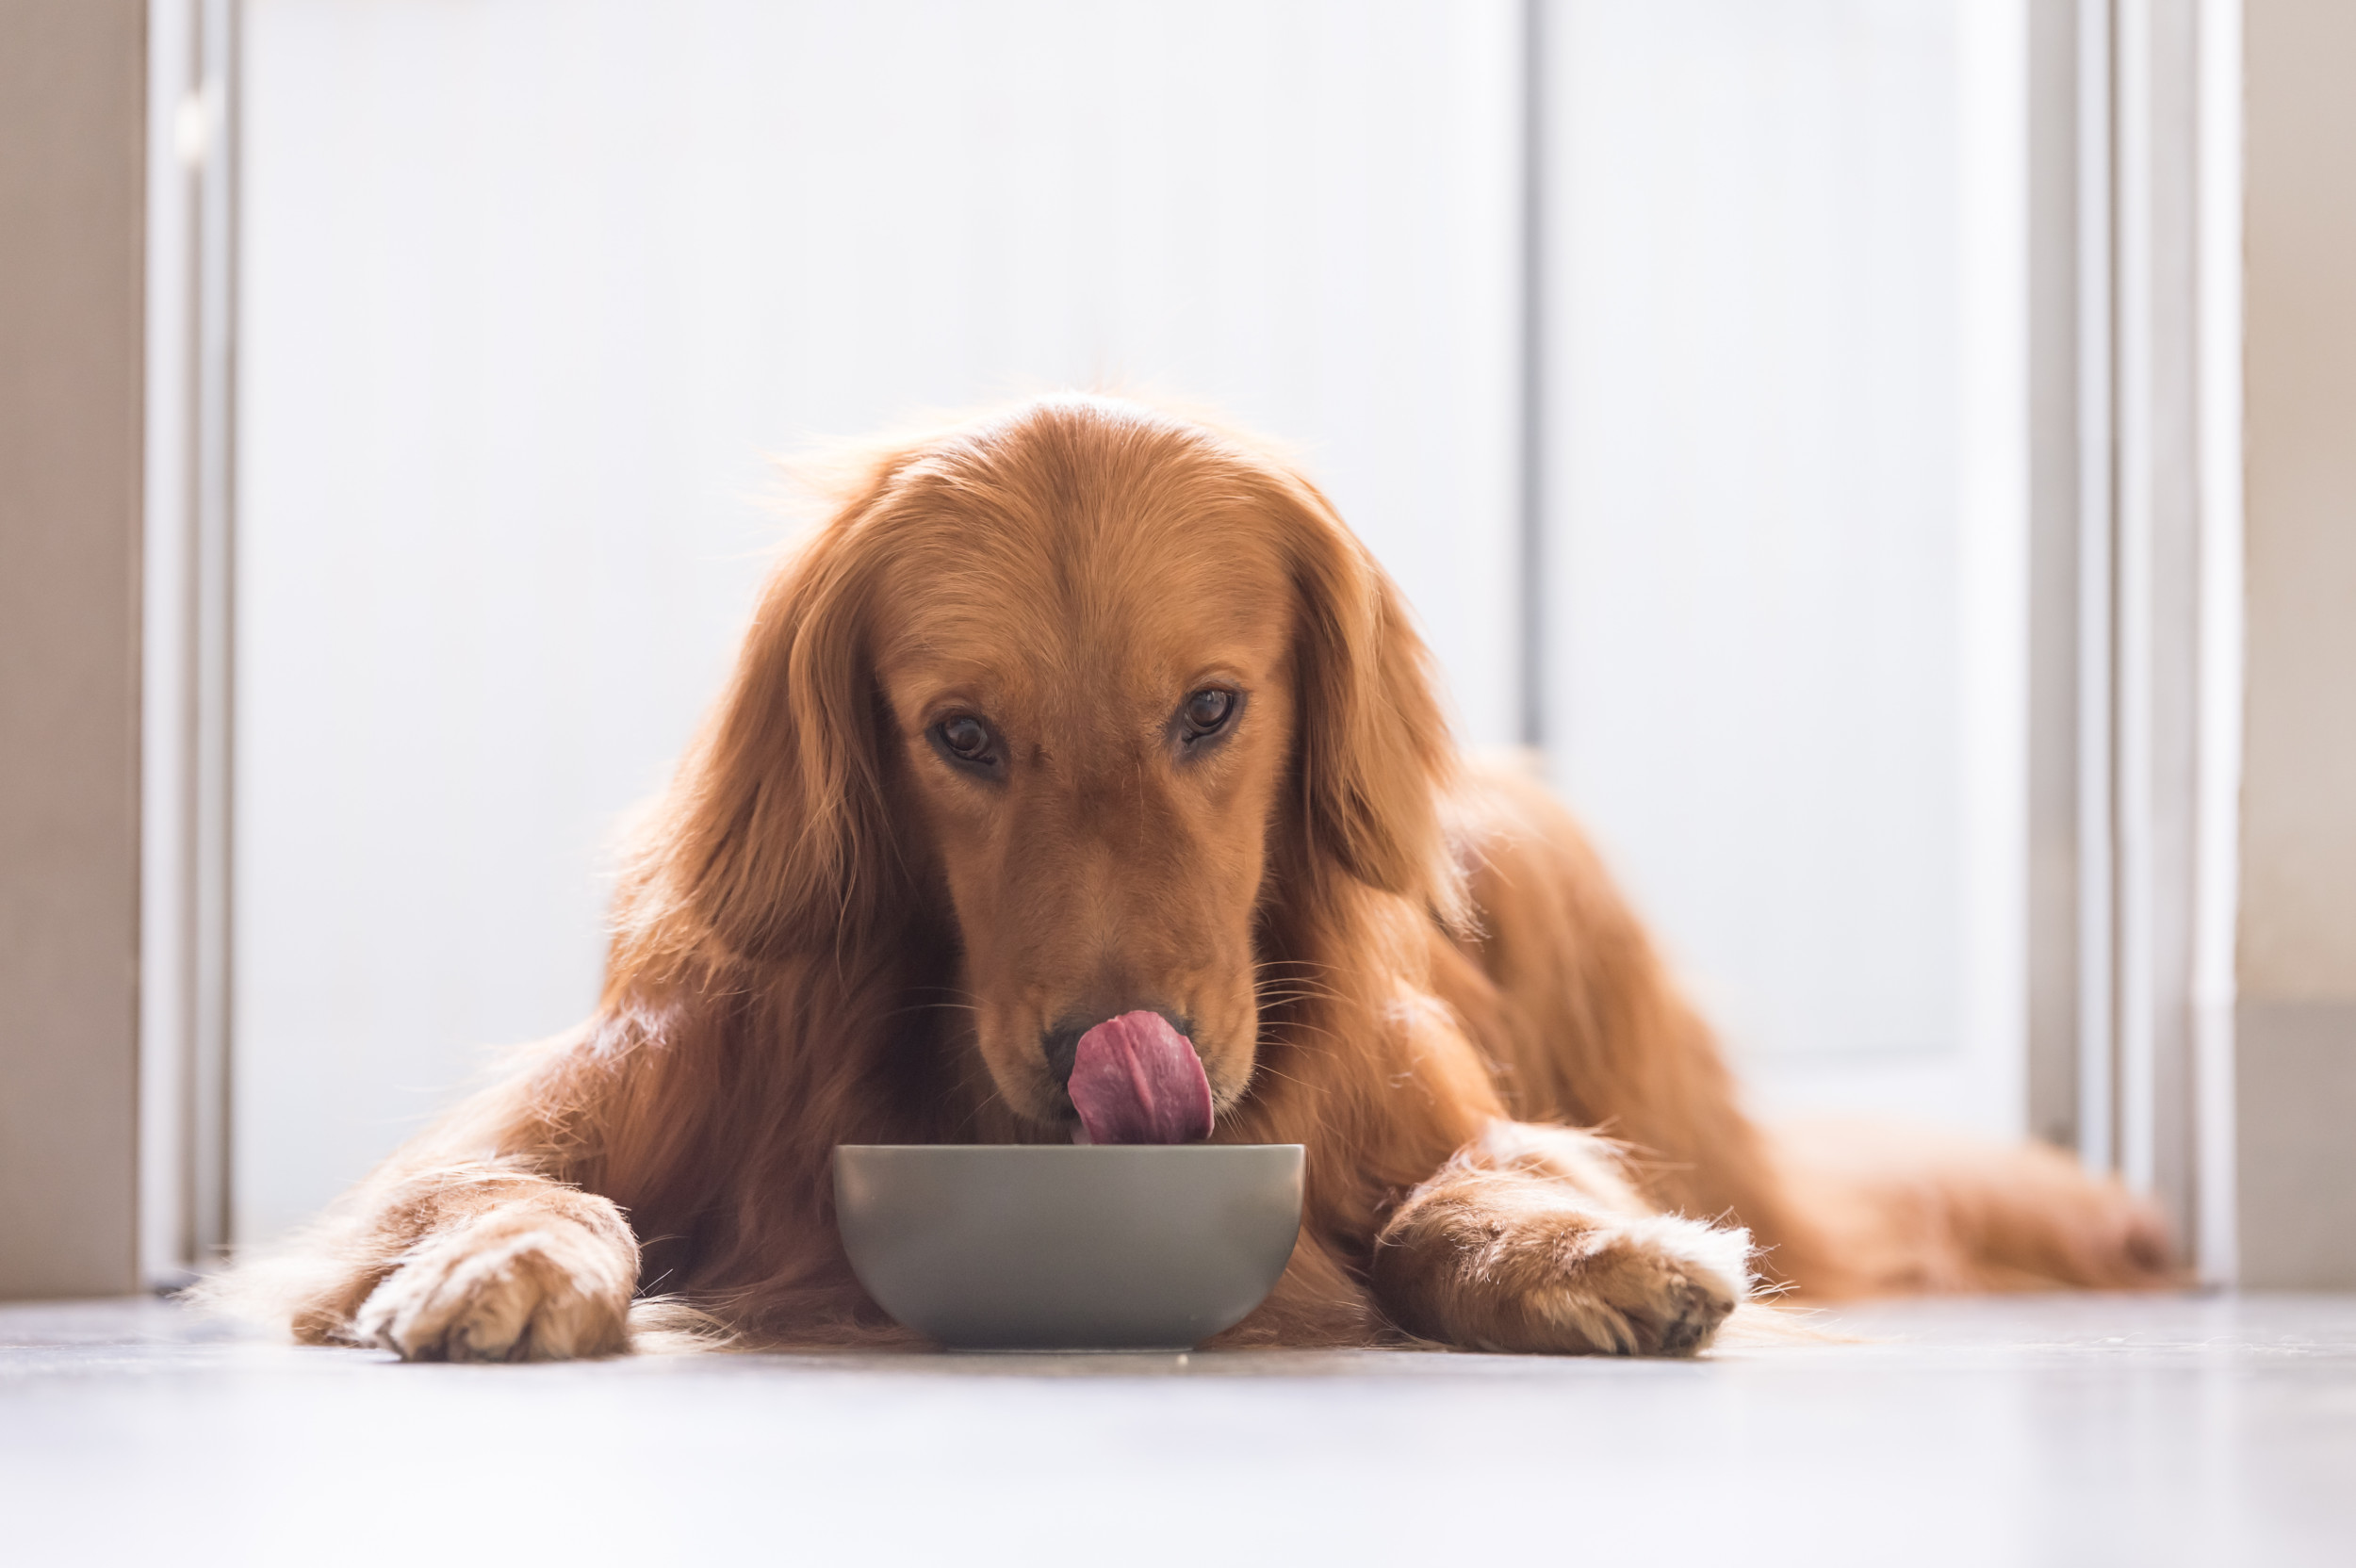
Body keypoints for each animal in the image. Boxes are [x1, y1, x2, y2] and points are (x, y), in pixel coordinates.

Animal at [248, 393, 2177, 1356]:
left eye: (1212, 708)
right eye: (961, 734)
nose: (1130, 1056)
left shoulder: (1422, 1108)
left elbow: (1463, 1183)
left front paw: (1569, 1243)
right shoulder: (605, 1092)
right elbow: (491, 1182)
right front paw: (502, 1258)